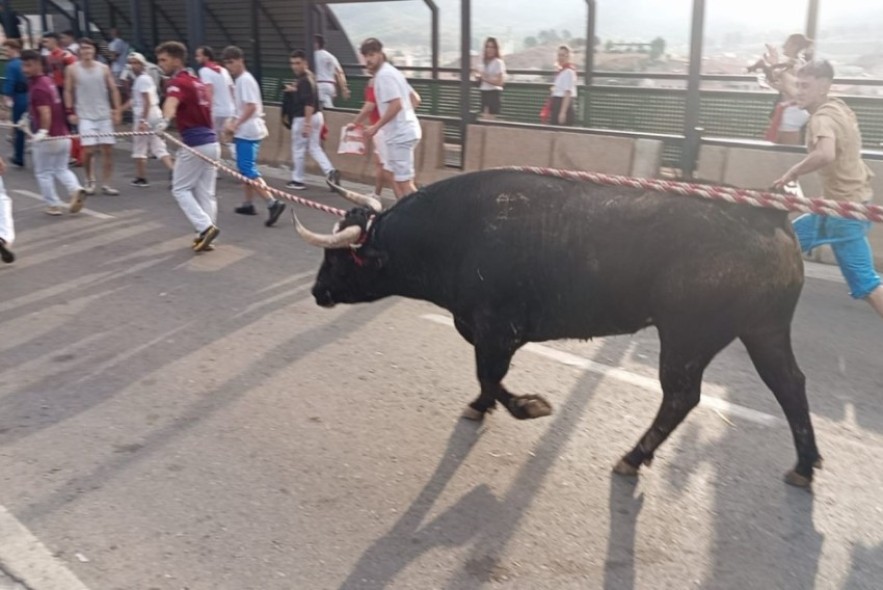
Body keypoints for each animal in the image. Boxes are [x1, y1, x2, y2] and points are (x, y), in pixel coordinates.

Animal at [296, 169, 820, 488]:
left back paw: (633, 457)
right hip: (763, 329)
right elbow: (486, 378)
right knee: (790, 385)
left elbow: (490, 375)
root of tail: (765, 211)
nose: (318, 291)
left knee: (681, 397)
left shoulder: (496, 330)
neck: (454, 235)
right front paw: (482, 406)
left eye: (337, 258)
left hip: (687, 337)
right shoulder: (483, 330)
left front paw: (528, 406)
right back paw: (805, 464)